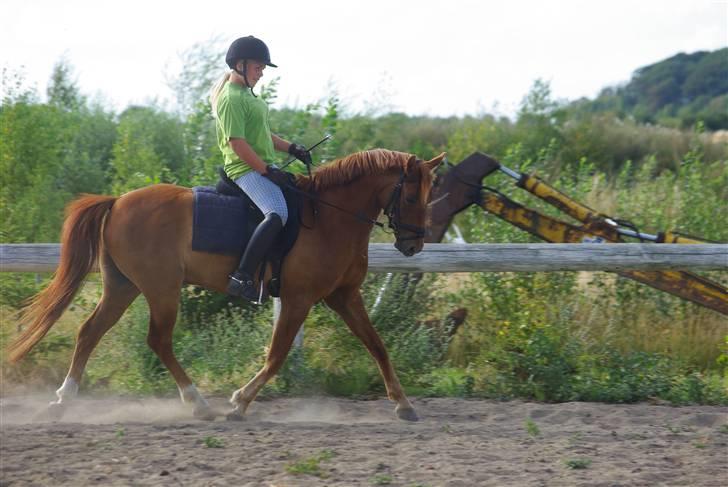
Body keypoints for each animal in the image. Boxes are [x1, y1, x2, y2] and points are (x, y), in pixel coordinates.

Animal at [8, 151, 446, 422]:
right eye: (411, 195)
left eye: (430, 195)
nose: (413, 245)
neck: (329, 218)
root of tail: (117, 201)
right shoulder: (300, 298)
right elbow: (277, 354)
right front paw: (239, 403)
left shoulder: (345, 296)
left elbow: (377, 345)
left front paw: (403, 405)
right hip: (161, 288)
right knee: (158, 340)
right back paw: (200, 404)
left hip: (123, 286)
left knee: (90, 332)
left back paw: (63, 401)